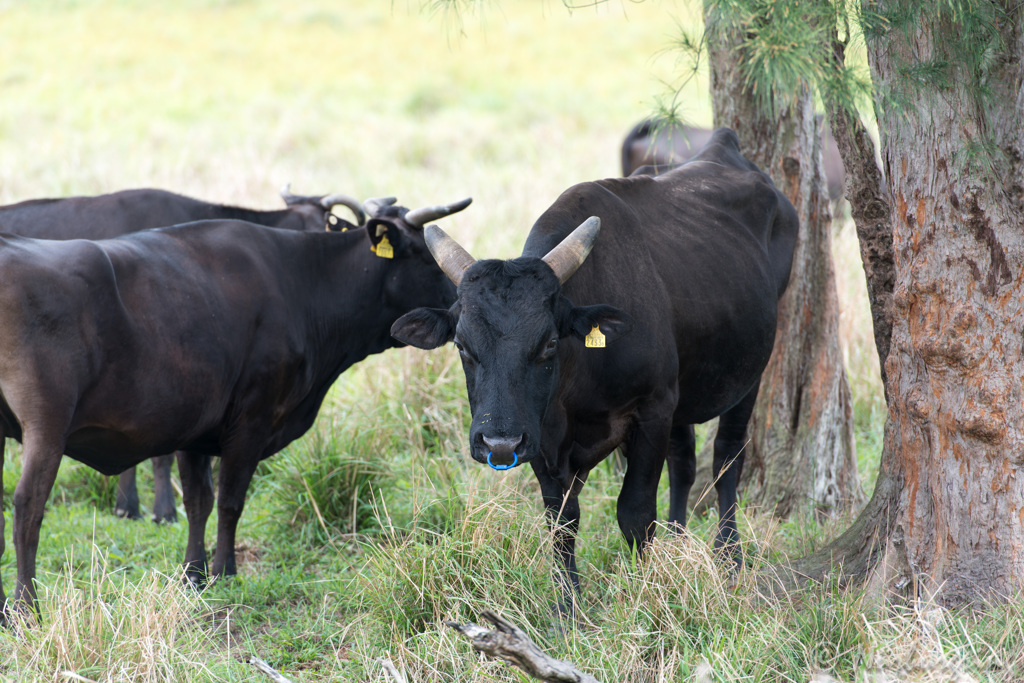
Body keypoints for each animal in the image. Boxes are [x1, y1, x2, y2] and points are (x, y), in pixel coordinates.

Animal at [391, 127, 798, 610]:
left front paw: (644, 589)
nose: (499, 442)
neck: (574, 388)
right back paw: (679, 543)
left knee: (726, 459)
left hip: (749, 374)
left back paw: (729, 556)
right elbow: (562, 519)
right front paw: (568, 603)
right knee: (684, 461)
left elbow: (636, 511)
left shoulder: (652, 408)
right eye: (461, 346)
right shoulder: (541, 437)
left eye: (549, 343)